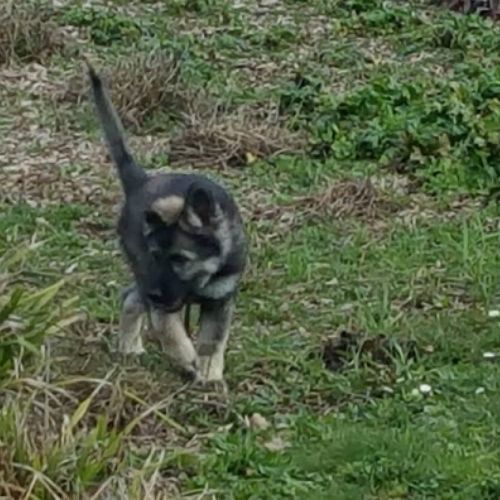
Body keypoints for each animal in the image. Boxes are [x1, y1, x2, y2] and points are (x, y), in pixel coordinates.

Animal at [86, 62, 248, 384]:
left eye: (180, 258)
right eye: (155, 255)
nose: (155, 292)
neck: (202, 277)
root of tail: (140, 182)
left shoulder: (219, 300)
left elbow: (212, 340)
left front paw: (209, 375)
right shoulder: (162, 299)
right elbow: (169, 331)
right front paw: (187, 358)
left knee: (131, 297)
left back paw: (130, 346)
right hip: (142, 276)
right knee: (133, 298)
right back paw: (130, 346)